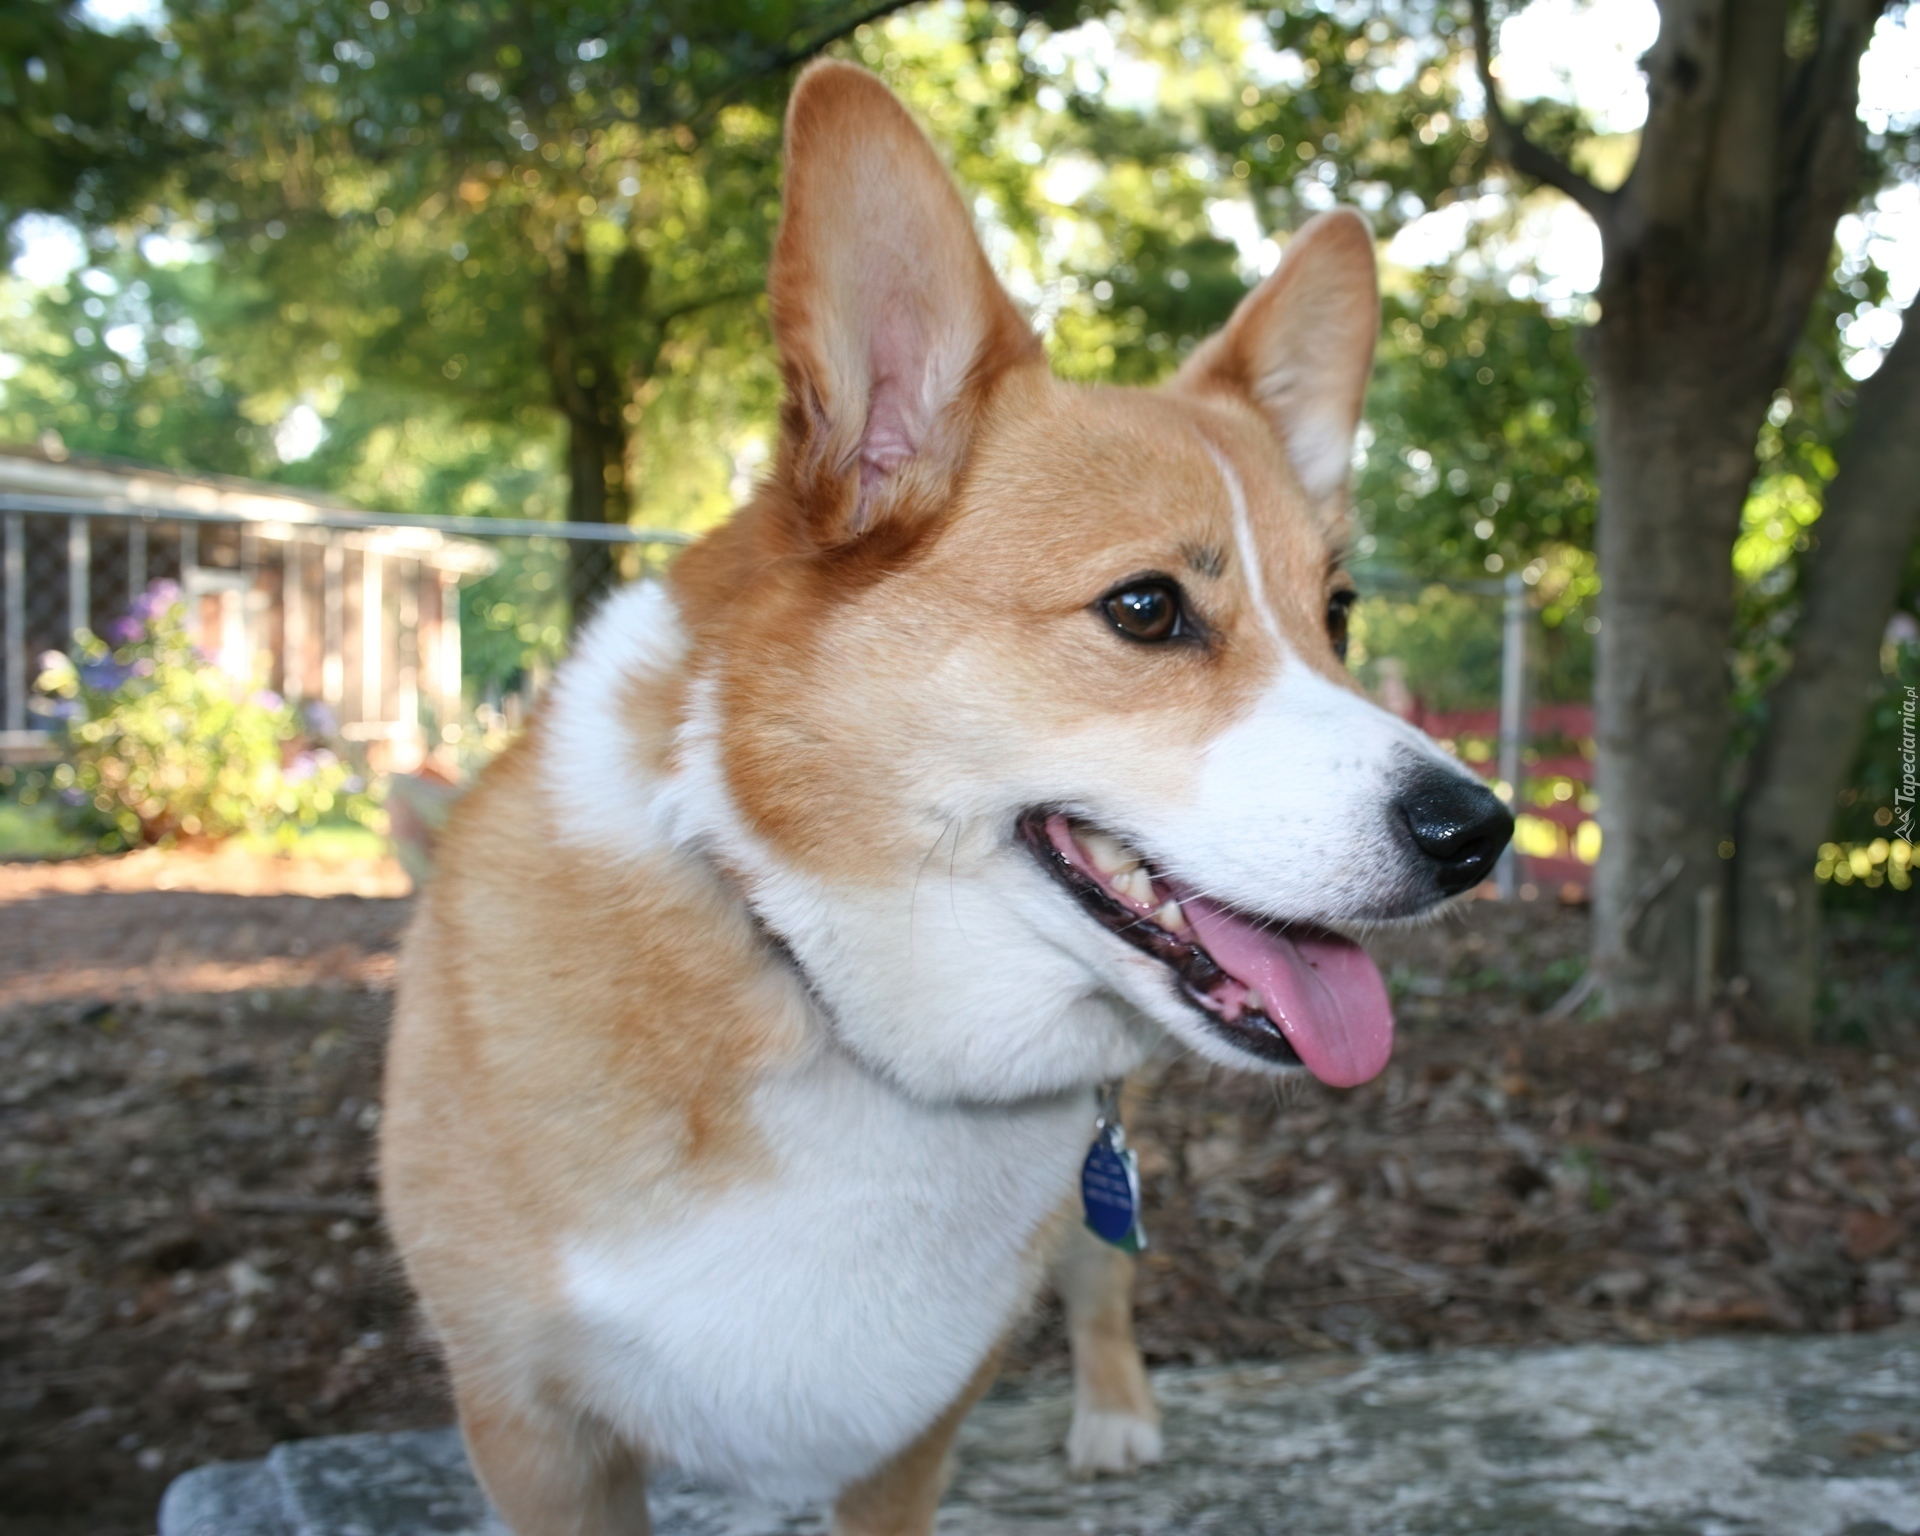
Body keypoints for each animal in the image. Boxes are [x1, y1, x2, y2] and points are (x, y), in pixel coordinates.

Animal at [378, 57, 1512, 1536]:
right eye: (1145, 609)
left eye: (1338, 614)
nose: (1479, 832)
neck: (809, 978)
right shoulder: (533, 1435)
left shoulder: (909, 1435)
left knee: (1101, 1279)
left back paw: (1114, 1415)